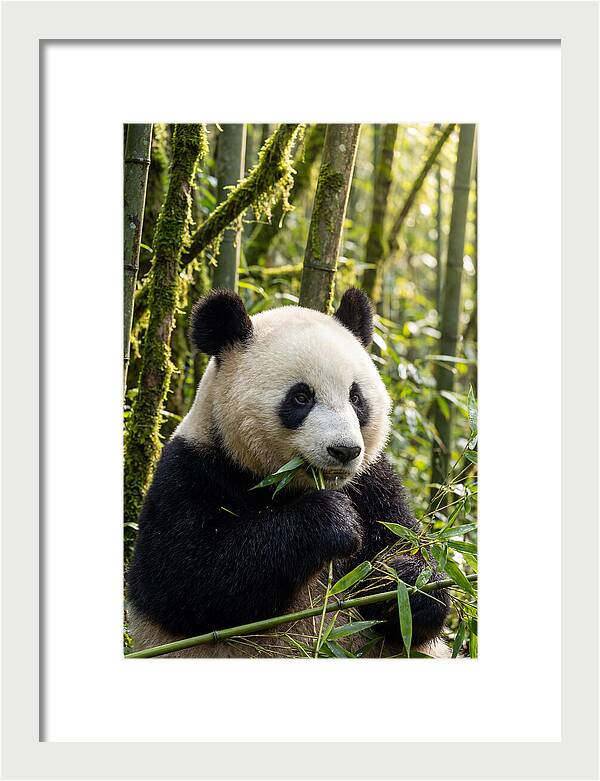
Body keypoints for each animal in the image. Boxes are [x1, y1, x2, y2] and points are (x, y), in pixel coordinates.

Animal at [127, 288, 450, 657]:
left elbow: (409, 558)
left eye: (356, 397)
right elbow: (188, 580)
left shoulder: (373, 484)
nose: (344, 451)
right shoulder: (190, 472)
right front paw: (332, 521)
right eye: (300, 397)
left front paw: (404, 582)